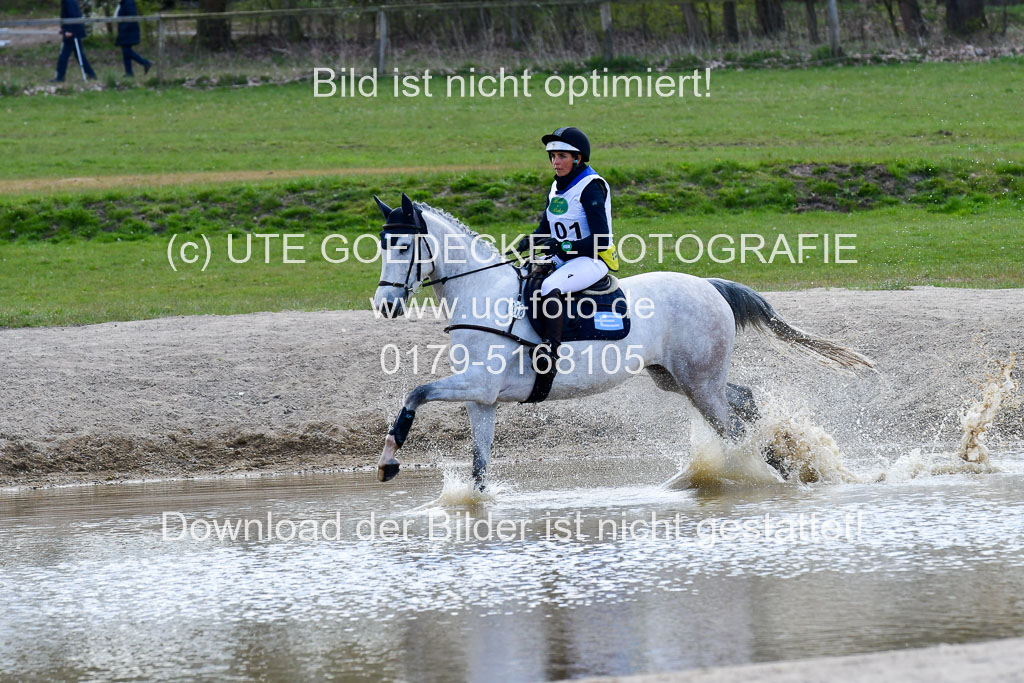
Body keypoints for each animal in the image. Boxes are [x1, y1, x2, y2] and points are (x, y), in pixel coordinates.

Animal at [371, 194, 874, 488]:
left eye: (403, 246)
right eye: (381, 245)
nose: (384, 305)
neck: (482, 294)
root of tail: (708, 286)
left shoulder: (479, 384)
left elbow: (414, 392)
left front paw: (389, 461)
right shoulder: (482, 399)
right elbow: (479, 465)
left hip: (700, 384)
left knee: (733, 427)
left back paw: (779, 468)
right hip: (678, 379)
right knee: (744, 401)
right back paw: (787, 459)